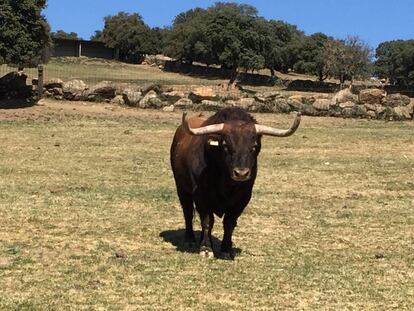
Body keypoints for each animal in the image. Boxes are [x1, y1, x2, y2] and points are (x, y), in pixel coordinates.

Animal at [169, 108, 300, 260]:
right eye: (225, 145)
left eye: (254, 146)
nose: (241, 173)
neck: (226, 183)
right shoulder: (201, 196)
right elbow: (207, 221)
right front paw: (206, 249)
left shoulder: (243, 199)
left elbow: (229, 223)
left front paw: (226, 249)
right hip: (182, 189)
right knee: (188, 212)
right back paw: (190, 239)